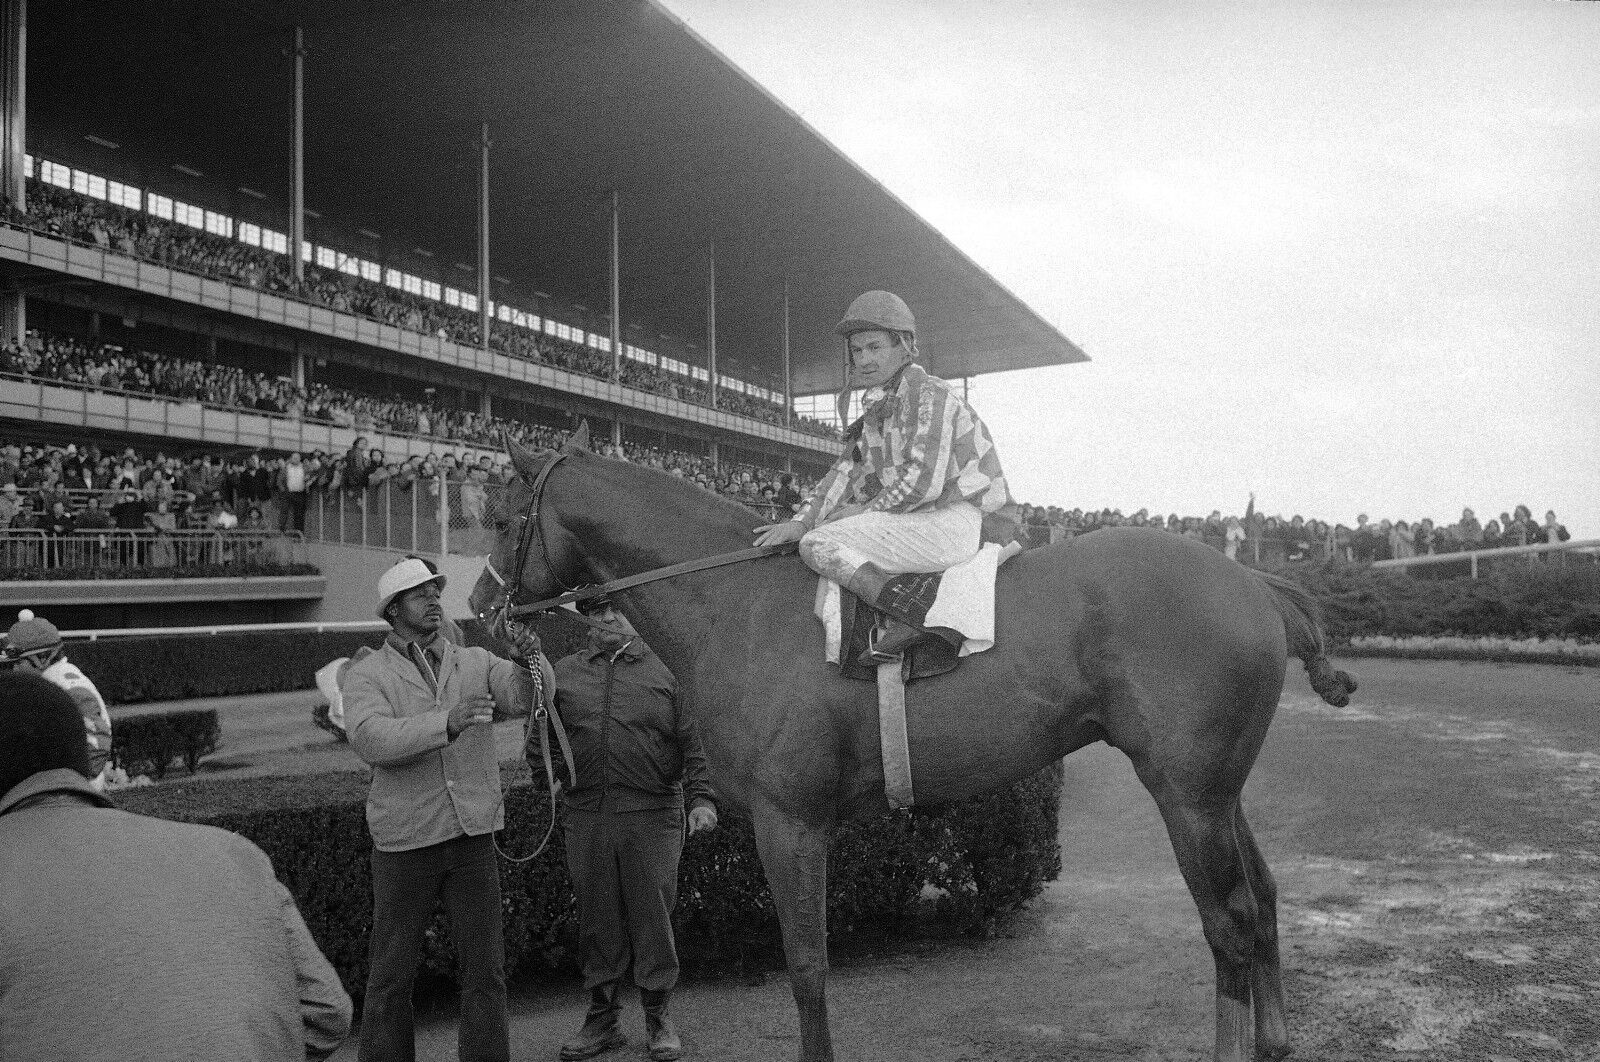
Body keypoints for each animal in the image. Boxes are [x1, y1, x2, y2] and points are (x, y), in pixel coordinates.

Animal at [467, 435, 1356, 1062]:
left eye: (503, 519)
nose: (479, 609)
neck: (737, 601)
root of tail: (1252, 580)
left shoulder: (791, 819)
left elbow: (806, 964)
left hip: (1186, 794)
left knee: (1229, 921)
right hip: (1217, 790)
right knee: (1264, 898)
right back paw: (1275, 1039)